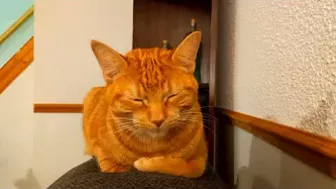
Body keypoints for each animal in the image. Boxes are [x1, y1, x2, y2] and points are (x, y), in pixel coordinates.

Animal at [82, 31, 207, 179]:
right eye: (137, 100)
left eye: (172, 96)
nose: (158, 120)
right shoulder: (108, 162)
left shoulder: (201, 158)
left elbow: (184, 168)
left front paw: (147, 163)